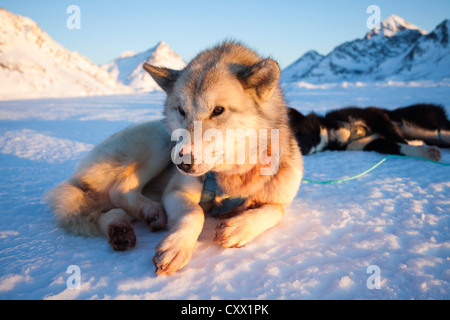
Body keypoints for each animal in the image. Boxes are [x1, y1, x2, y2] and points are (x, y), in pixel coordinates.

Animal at [45, 40, 304, 276]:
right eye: (181, 110)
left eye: (218, 110)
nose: (183, 163)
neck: (230, 177)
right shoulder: (175, 191)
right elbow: (195, 213)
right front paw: (177, 246)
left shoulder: (280, 193)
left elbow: (276, 210)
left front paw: (240, 227)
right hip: (162, 140)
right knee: (120, 190)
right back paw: (150, 211)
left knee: (108, 211)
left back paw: (119, 229)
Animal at [288, 104, 450, 161]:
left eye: (297, 131)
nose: (302, 150)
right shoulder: (373, 143)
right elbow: (399, 147)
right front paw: (424, 152)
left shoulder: (375, 114)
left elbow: (399, 140)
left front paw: (421, 148)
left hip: (408, 124)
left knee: (437, 132)